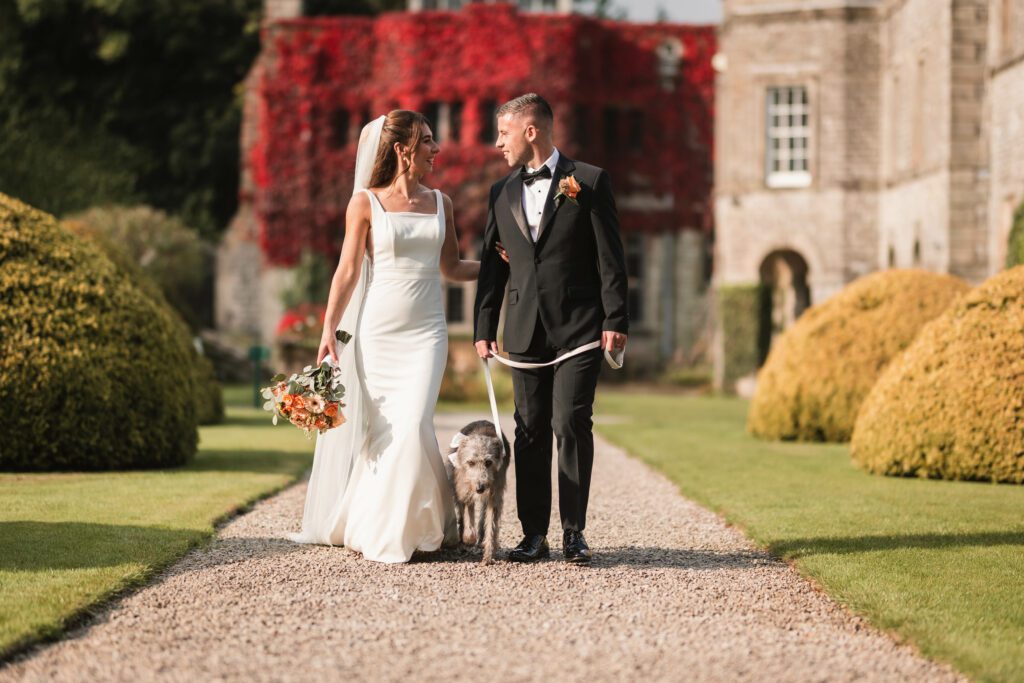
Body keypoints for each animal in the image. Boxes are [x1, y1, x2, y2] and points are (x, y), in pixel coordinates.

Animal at [448, 421, 512, 565]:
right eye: (470, 462)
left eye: (488, 462)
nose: (480, 488)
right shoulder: (463, 490)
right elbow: (467, 513)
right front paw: (468, 538)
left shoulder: (494, 494)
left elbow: (491, 524)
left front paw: (488, 554)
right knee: (465, 513)